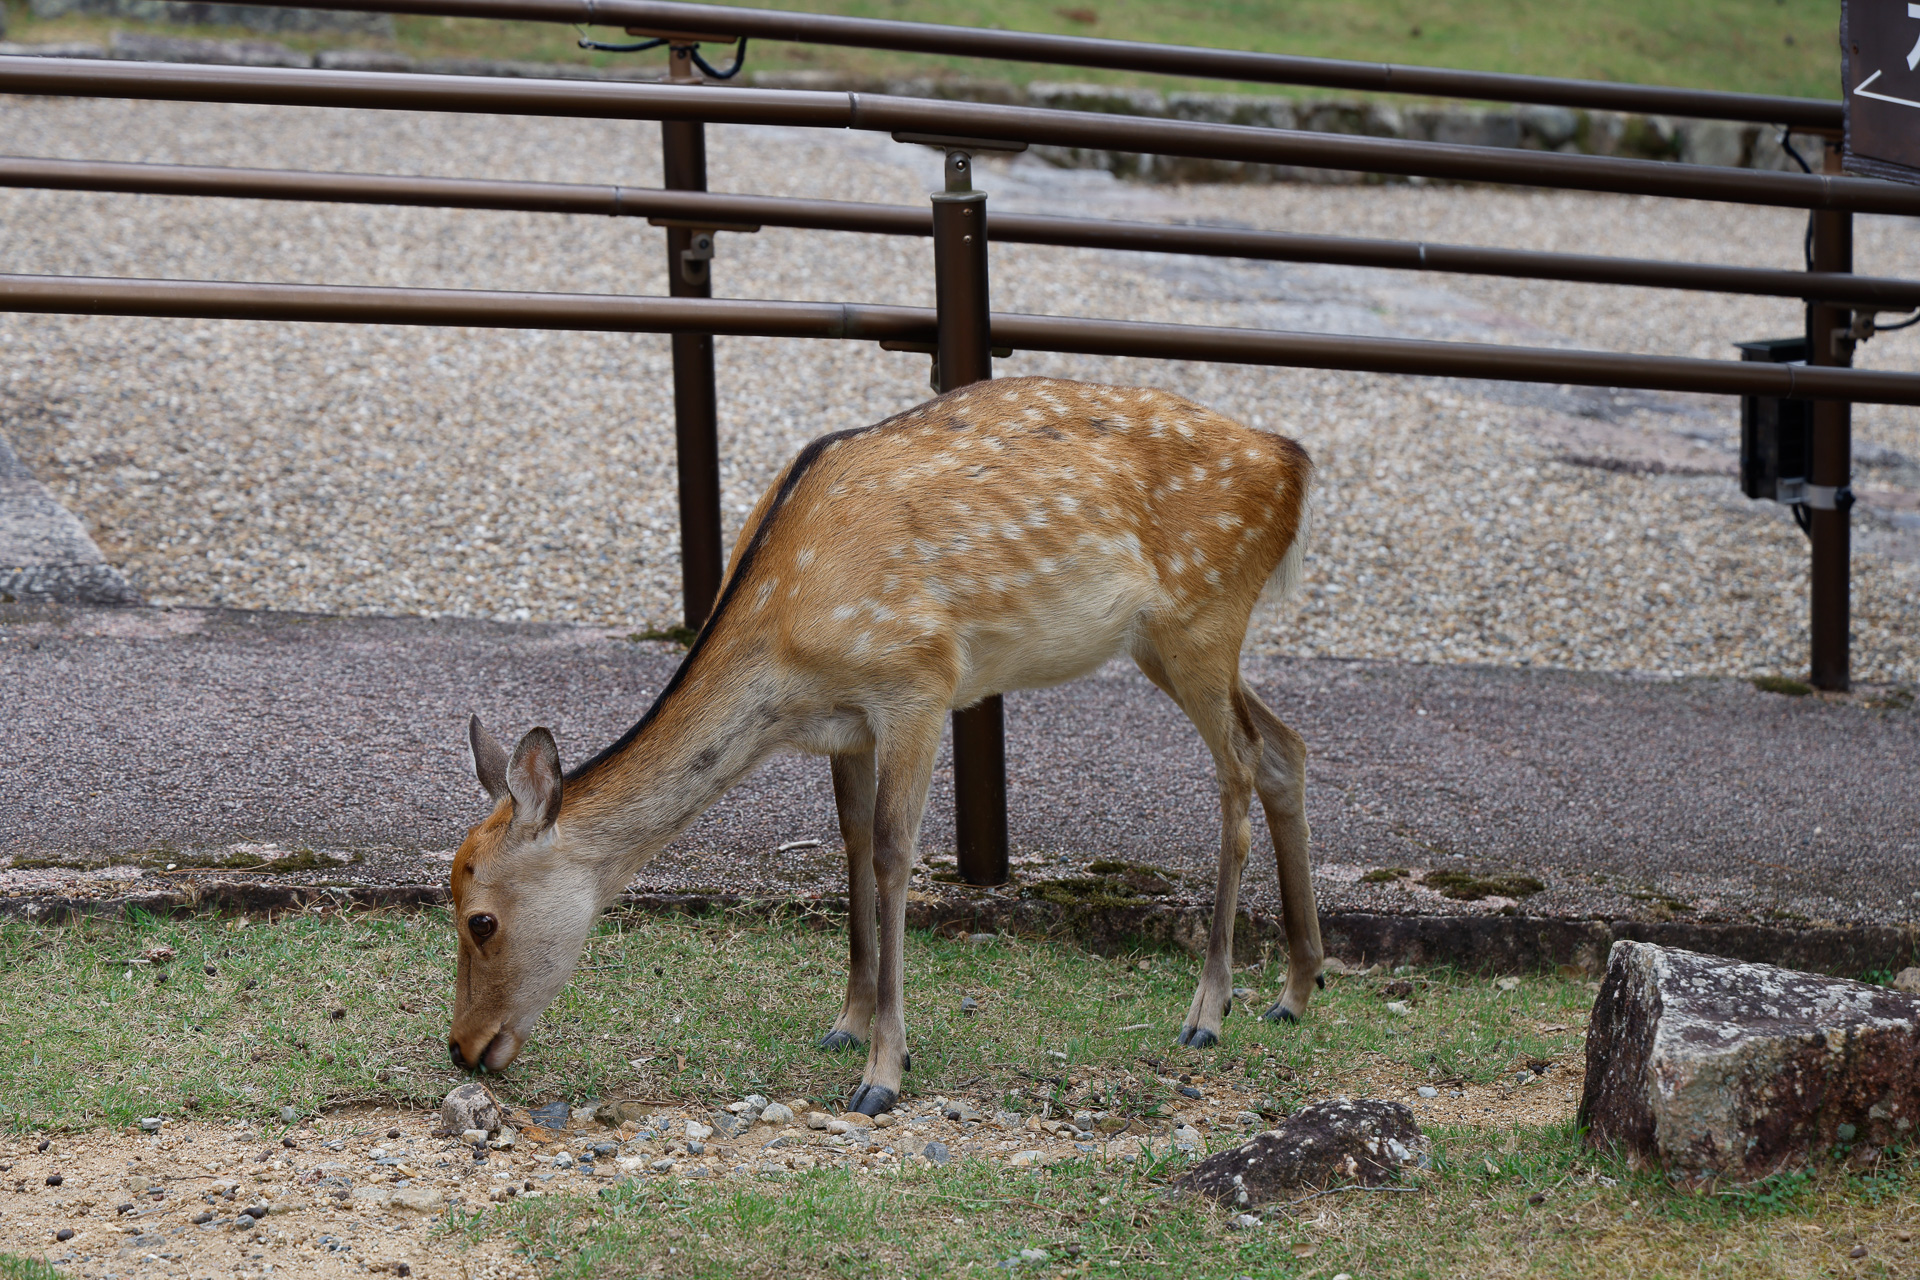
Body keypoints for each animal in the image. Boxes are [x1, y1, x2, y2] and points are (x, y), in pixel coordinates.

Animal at [448, 375, 1324, 1115]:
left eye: (480, 920)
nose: (461, 1047)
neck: (787, 648)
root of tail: (1294, 462)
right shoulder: (844, 725)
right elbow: (853, 842)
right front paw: (847, 1023)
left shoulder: (917, 683)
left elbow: (896, 852)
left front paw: (884, 1073)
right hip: (1164, 642)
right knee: (1285, 746)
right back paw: (1295, 991)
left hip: (1202, 613)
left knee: (1239, 767)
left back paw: (1210, 1009)